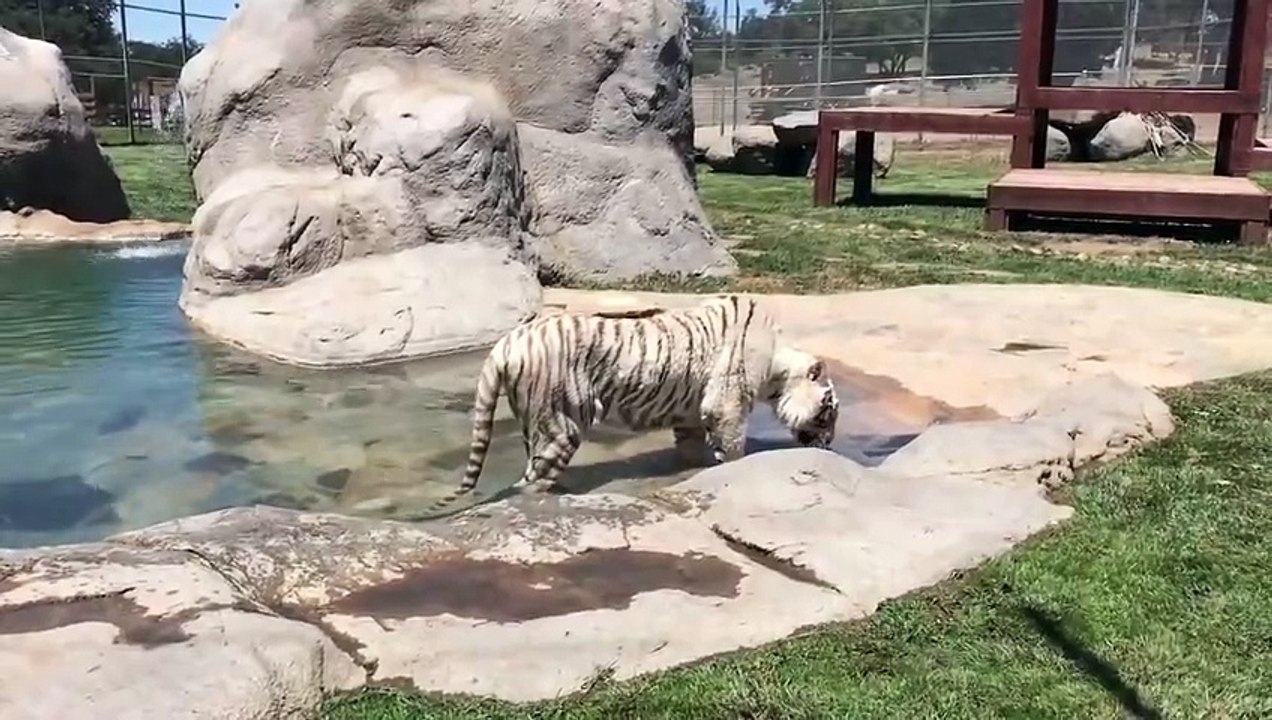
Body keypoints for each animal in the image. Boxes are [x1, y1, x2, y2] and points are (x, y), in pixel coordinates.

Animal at [427, 294, 841, 513]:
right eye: (829, 409)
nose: (830, 444)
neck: (777, 366)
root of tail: (507, 342)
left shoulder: (691, 412)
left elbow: (690, 445)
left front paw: (690, 470)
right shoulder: (728, 405)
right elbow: (733, 445)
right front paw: (733, 470)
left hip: (532, 417)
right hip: (563, 422)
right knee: (533, 479)